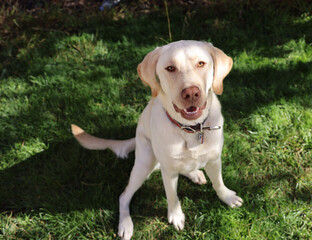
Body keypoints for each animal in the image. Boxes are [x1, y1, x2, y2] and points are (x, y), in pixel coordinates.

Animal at [72, 39, 243, 240]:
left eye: (201, 63)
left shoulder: (214, 159)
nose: (191, 93)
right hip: (145, 162)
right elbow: (172, 195)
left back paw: (195, 173)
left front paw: (227, 197)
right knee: (124, 196)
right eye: (170, 68)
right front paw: (176, 215)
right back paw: (126, 224)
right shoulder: (169, 171)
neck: (190, 129)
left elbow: (218, 182)